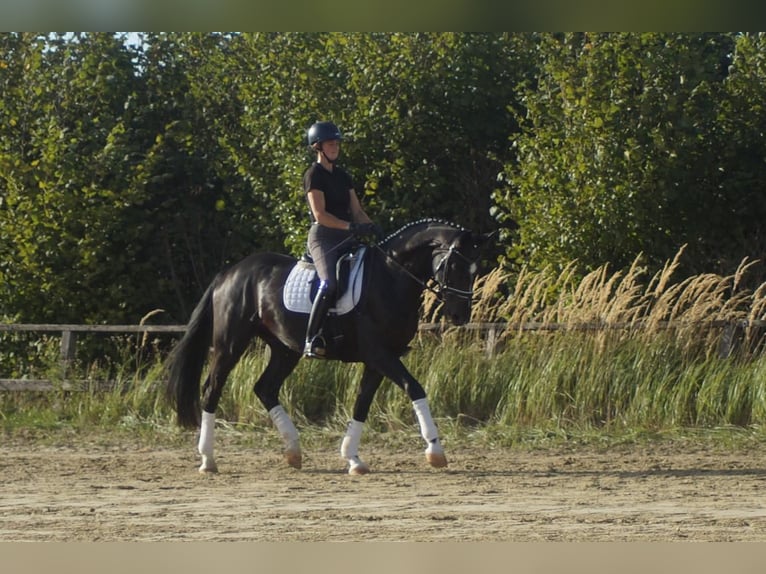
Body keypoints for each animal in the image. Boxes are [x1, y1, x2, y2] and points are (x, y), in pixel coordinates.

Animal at [165, 218, 492, 475]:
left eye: (475, 270)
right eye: (453, 264)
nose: (459, 316)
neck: (390, 277)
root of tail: (229, 272)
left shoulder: (378, 359)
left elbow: (362, 403)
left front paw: (353, 459)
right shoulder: (380, 355)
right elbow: (415, 388)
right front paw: (435, 450)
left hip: (285, 349)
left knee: (265, 388)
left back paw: (294, 452)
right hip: (231, 343)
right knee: (212, 388)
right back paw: (208, 459)